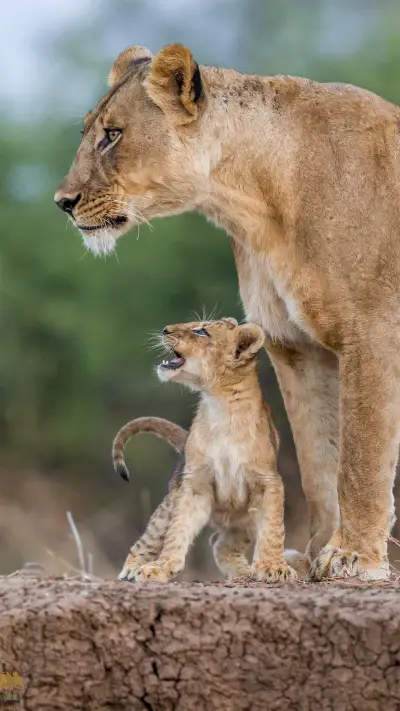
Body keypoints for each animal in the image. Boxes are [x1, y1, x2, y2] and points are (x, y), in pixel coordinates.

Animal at [114, 317, 299, 583]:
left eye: (201, 331)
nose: (165, 329)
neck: (220, 405)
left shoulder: (268, 481)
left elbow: (274, 530)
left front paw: (274, 567)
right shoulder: (195, 484)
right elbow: (177, 531)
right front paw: (160, 567)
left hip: (243, 522)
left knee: (220, 543)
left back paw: (243, 574)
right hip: (172, 500)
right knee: (152, 537)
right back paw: (132, 568)